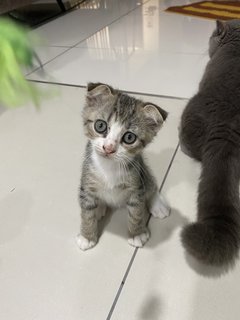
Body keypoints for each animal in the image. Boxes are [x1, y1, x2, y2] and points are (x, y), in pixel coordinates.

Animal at [76, 84, 170, 251]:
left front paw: (136, 234)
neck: (109, 167)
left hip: (143, 171)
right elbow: (86, 213)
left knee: (151, 184)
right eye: (100, 125)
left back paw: (157, 204)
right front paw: (87, 236)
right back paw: (99, 207)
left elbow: (136, 212)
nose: (108, 148)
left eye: (129, 137)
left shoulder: (136, 186)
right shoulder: (86, 183)